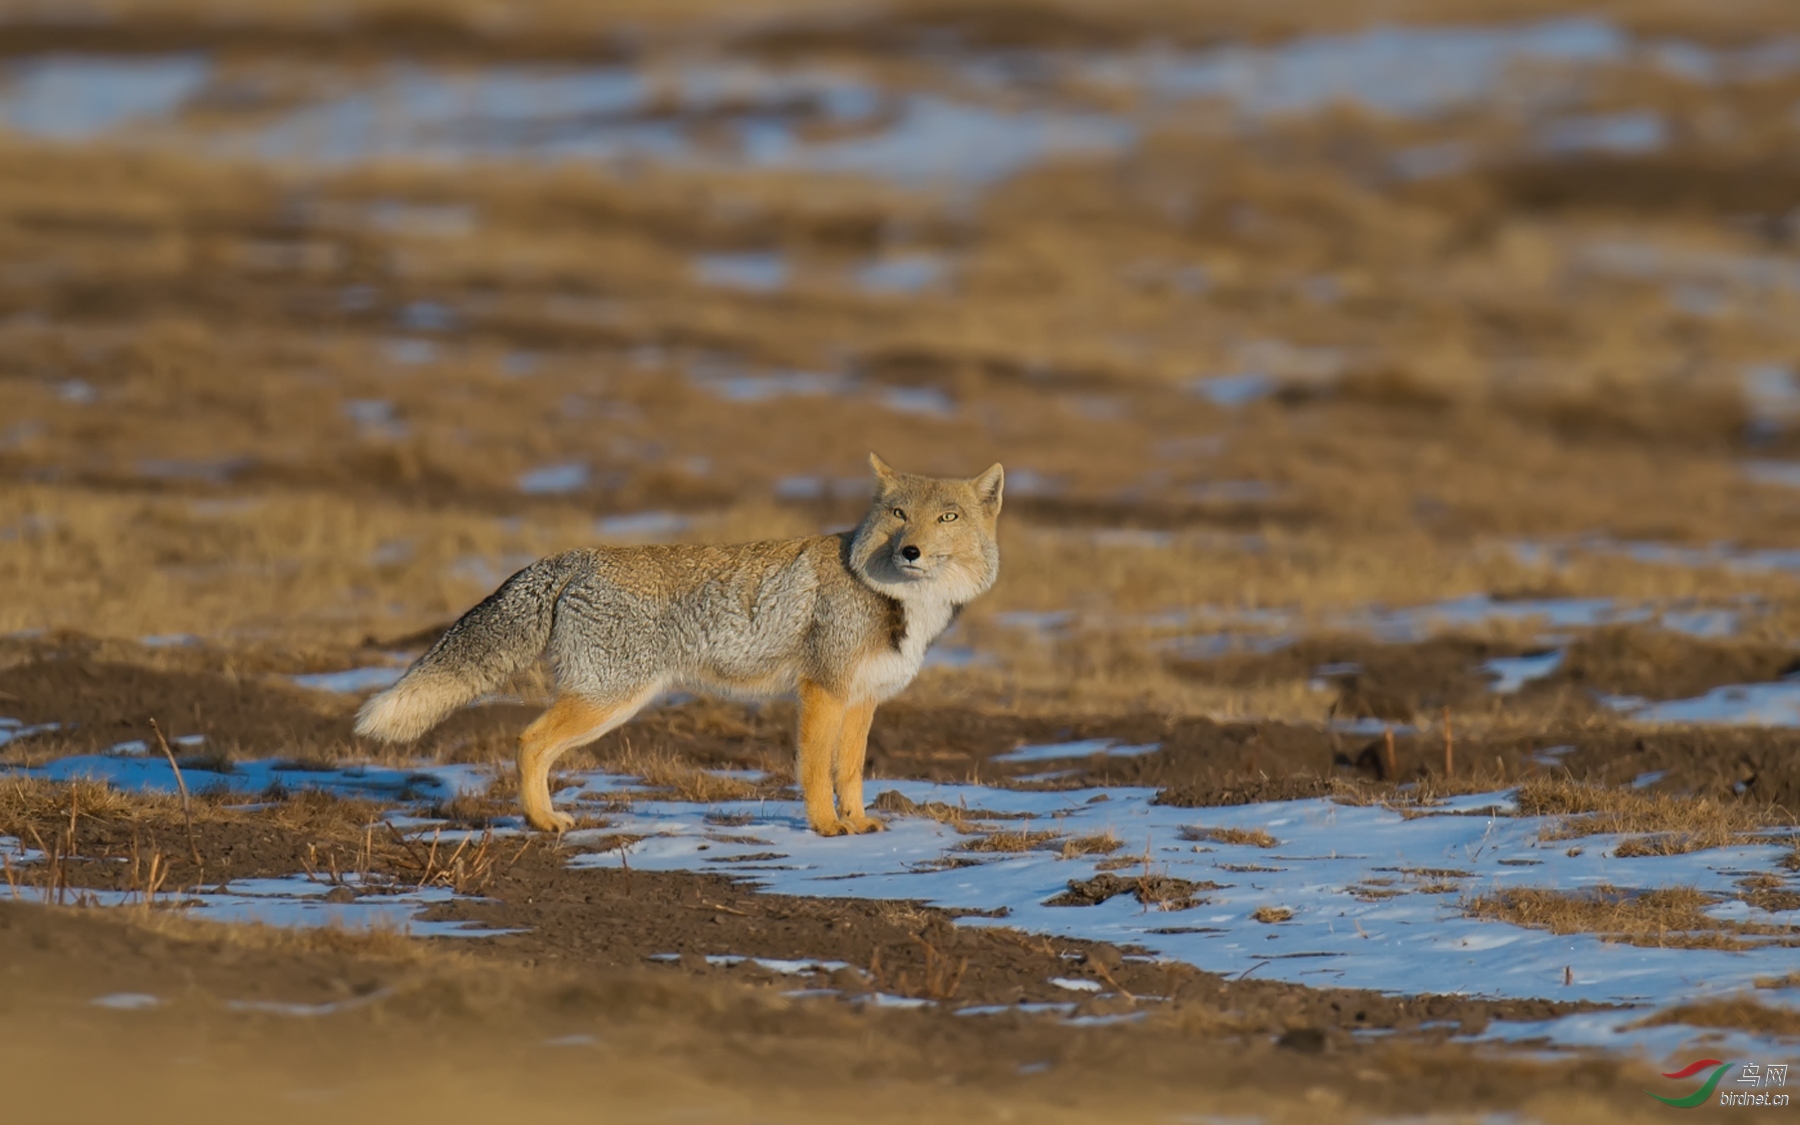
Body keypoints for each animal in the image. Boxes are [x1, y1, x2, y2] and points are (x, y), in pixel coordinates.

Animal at [351, 453, 1000, 835]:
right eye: (898, 514)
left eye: (947, 518)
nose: (911, 551)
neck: (898, 601)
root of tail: (575, 555)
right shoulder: (822, 692)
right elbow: (817, 770)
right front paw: (824, 828)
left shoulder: (863, 698)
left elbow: (851, 774)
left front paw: (859, 823)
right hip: (609, 701)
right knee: (528, 740)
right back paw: (543, 821)